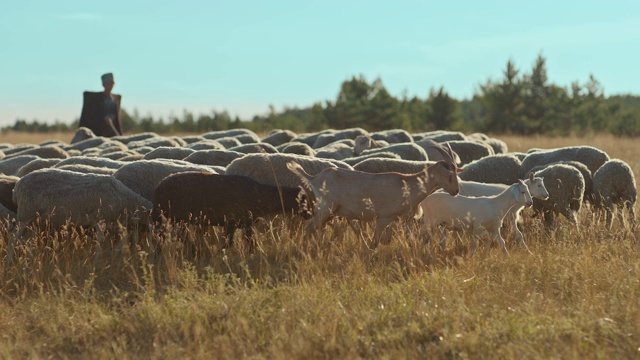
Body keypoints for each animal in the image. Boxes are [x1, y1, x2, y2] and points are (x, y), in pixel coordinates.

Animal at [151, 172, 310, 248]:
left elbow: (250, 244)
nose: (310, 214)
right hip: (174, 217)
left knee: (168, 237)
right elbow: (230, 243)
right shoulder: (232, 222)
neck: (262, 195)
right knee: (170, 237)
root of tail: (158, 188)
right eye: (304, 201)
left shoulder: (245, 224)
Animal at [286, 143, 460, 248]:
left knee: (316, 229)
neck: (408, 183)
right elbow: (375, 242)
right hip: (325, 209)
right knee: (309, 227)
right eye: (449, 174)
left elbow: (394, 240)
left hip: (330, 213)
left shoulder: (400, 220)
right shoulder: (383, 218)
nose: (456, 191)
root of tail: (314, 178)